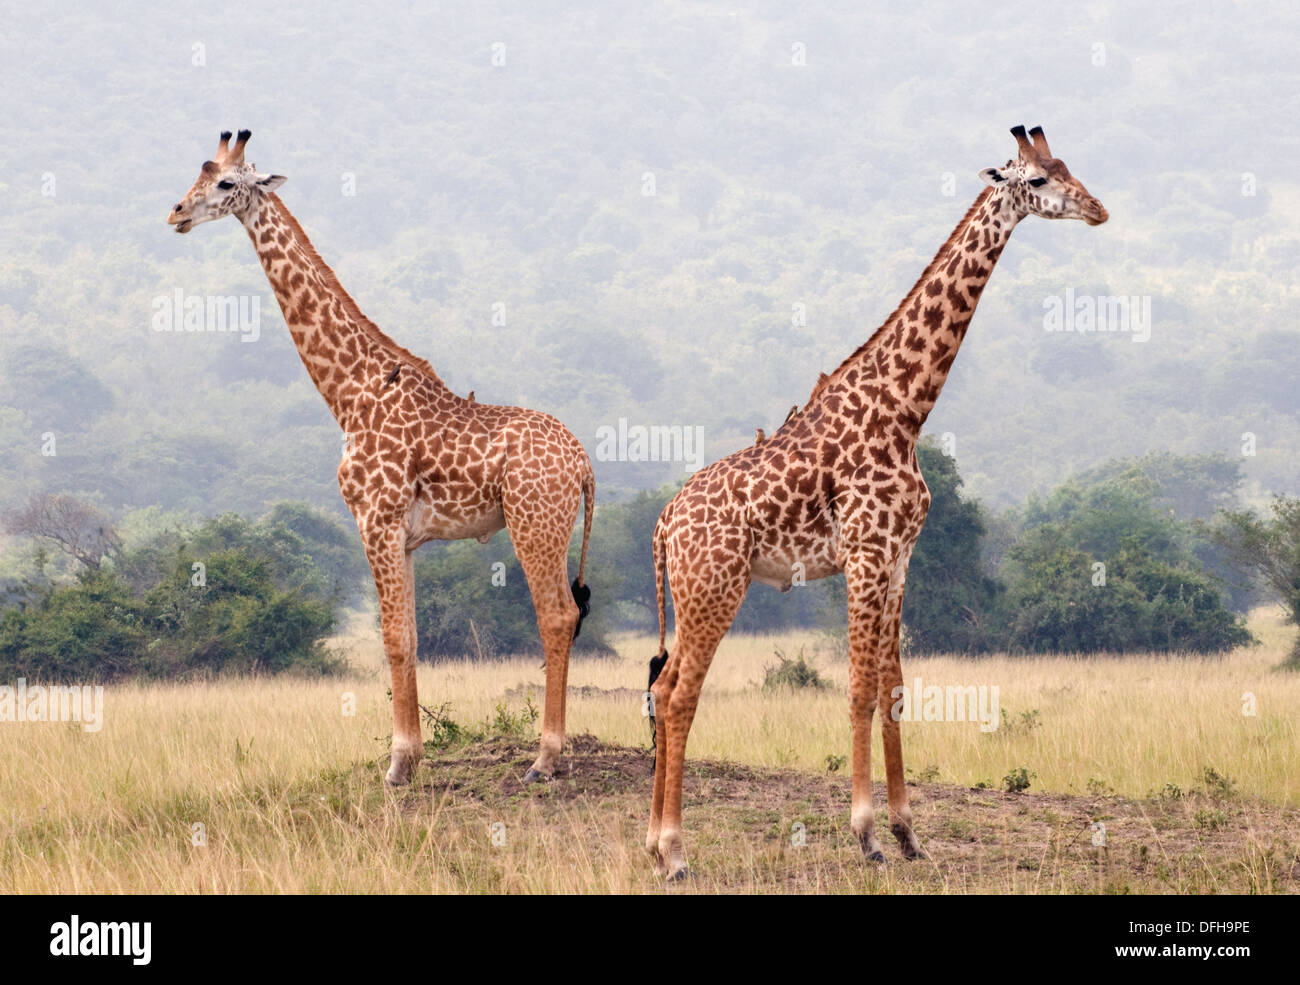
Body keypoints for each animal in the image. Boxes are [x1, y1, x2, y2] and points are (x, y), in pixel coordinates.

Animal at [167, 130, 595, 786]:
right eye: (198, 174)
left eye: (224, 183)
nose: (177, 214)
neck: (349, 393)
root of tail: (584, 464)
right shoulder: (405, 535)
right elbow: (411, 637)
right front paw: (411, 757)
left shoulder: (375, 518)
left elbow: (391, 638)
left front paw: (396, 766)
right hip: (555, 526)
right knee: (565, 615)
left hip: (534, 522)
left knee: (556, 616)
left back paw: (544, 759)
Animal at [645, 125, 1107, 880]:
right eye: (1037, 180)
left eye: (1070, 166)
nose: (1098, 210)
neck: (907, 409)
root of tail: (661, 525)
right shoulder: (864, 553)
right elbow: (859, 687)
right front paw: (865, 835)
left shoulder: (899, 557)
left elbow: (894, 687)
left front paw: (908, 833)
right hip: (716, 585)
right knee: (682, 695)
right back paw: (678, 852)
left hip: (693, 591)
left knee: (661, 689)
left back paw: (653, 841)